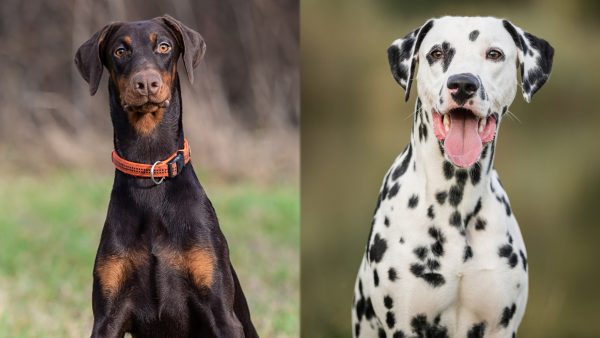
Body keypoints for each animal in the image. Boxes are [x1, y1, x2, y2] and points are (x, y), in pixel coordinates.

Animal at [74, 14, 258, 336]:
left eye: (163, 46)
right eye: (120, 51)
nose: (146, 83)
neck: (151, 165)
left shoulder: (221, 311)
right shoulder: (108, 315)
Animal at [352, 16, 552, 338]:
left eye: (494, 53)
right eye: (437, 53)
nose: (462, 84)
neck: (456, 200)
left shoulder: (501, 325)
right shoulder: (405, 324)